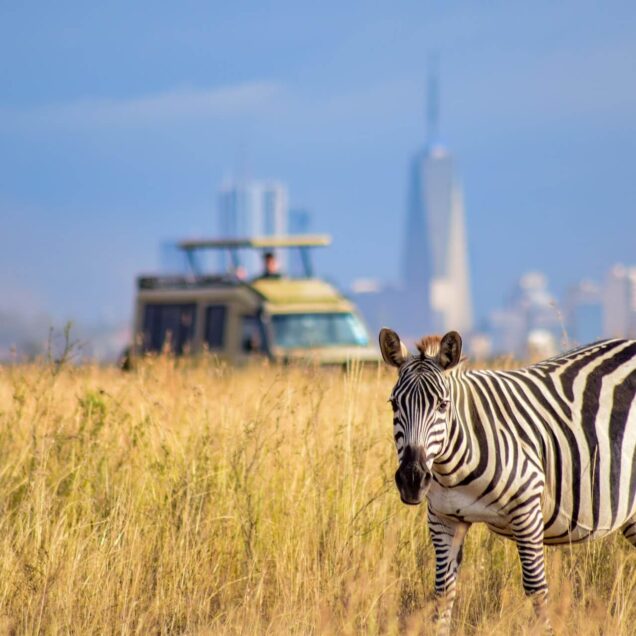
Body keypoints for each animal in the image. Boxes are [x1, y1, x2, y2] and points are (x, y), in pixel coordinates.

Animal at [380, 330, 632, 632]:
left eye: (442, 405)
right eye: (394, 404)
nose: (412, 479)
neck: (452, 471)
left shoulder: (528, 511)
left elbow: (536, 590)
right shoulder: (443, 519)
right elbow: (443, 593)